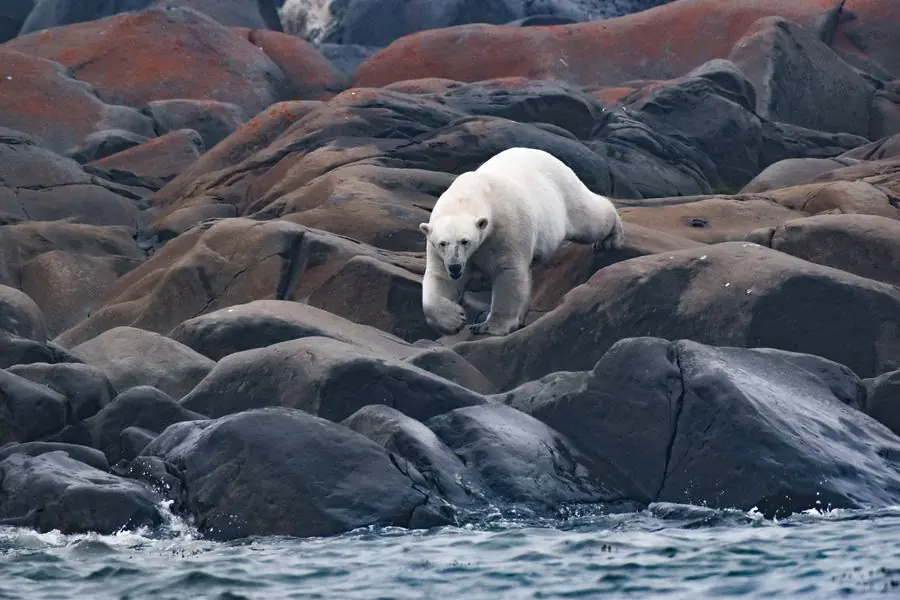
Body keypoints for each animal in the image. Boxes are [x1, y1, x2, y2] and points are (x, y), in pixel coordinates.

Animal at [418, 146, 625, 337]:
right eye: (442, 243)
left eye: (465, 241)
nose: (455, 267)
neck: (471, 195)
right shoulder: (438, 249)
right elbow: (440, 278)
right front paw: (454, 320)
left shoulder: (506, 228)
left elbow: (509, 272)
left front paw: (489, 326)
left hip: (564, 194)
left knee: (589, 218)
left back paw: (610, 238)